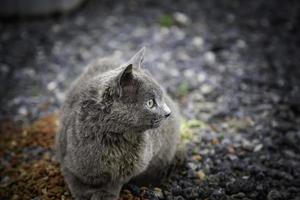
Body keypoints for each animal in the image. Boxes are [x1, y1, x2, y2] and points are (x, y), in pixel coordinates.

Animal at [55, 47, 182, 199]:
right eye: (150, 103)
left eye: (161, 98)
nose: (168, 113)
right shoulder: (67, 160)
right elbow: (75, 182)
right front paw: (85, 194)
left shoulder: (129, 169)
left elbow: (115, 183)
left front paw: (106, 194)